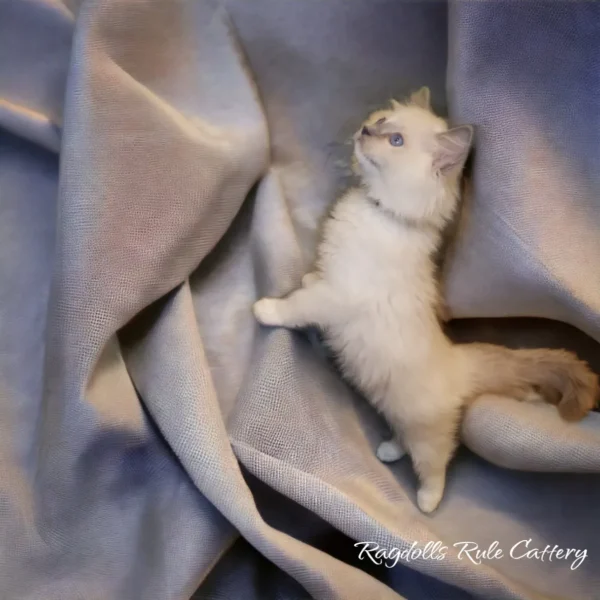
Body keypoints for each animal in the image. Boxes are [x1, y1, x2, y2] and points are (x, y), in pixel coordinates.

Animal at [251, 86, 596, 512]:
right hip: (397, 410)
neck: (380, 213)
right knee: (403, 437)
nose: (366, 130)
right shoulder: (332, 280)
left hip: (427, 434)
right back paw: (387, 450)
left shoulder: (337, 294)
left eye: (396, 141)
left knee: (436, 462)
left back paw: (427, 502)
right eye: (382, 122)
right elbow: (311, 282)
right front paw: (305, 275)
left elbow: (296, 305)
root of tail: (459, 361)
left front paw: (265, 309)